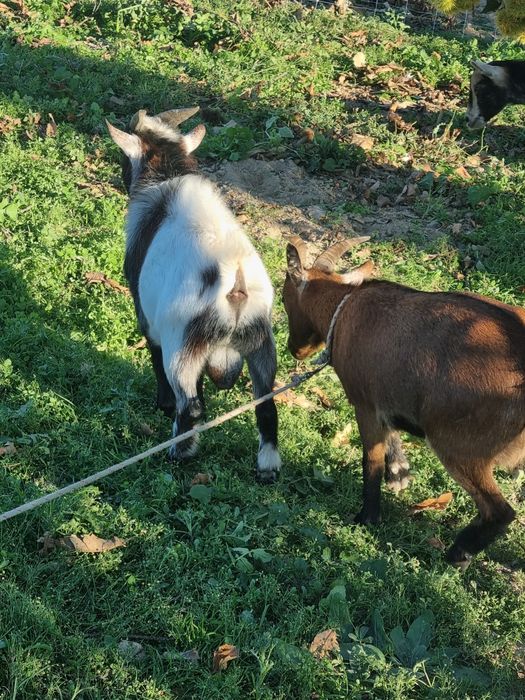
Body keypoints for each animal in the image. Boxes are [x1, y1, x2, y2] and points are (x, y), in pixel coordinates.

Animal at [106, 107, 281, 482]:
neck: (166, 180)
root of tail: (236, 283)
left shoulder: (147, 313)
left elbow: (154, 352)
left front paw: (162, 405)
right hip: (261, 339)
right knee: (266, 403)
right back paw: (267, 468)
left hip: (184, 342)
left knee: (190, 402)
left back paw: (178, 452)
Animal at [283, 236, 523, 568]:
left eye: (283, 299)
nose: (294, 350)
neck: (344, 307)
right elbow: (391, 434)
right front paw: (399, 473)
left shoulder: (365, 404)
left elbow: (369, 461)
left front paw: (367, 517)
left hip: (460, 446)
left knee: (499, 511)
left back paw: (457, 556)